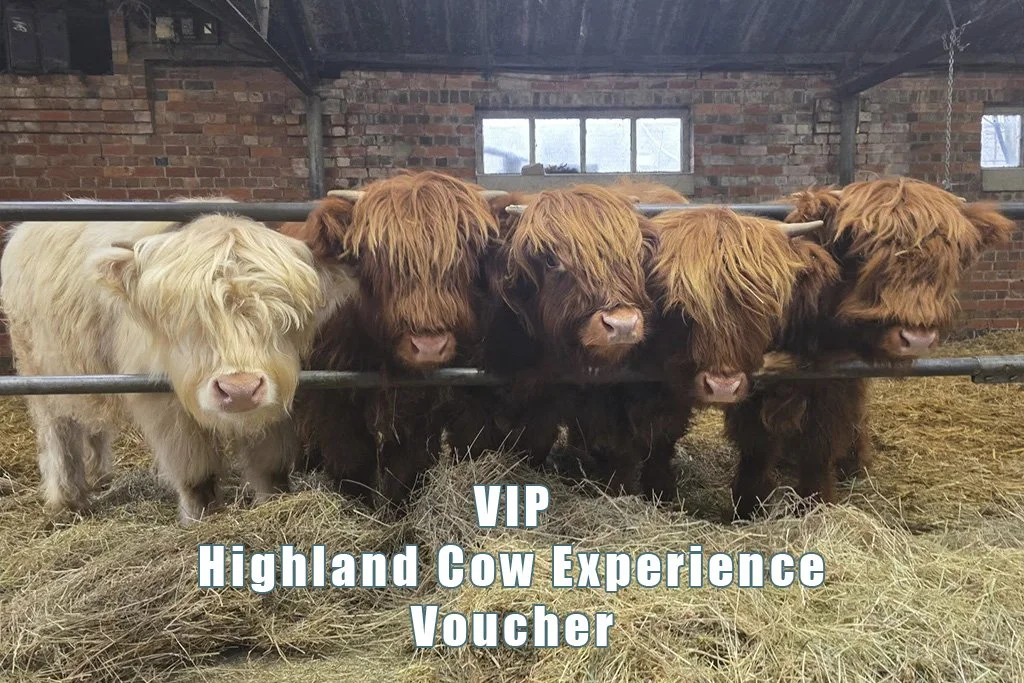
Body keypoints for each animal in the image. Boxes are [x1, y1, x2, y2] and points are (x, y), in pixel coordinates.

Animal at [0, 209, 348, 524]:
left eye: (283, 316)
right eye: (188, 320)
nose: (239, 390)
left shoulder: (275, 404)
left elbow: (269, 465)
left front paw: (272, 503)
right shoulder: (163, 405)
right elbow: (195, 472)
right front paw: (198, 518)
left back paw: (99, 475)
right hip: (40, 372)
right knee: (58, 432)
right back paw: (67, 499)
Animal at [289, 171, 502, 508]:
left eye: (461, 259)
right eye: (381, 260)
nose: (429, 348)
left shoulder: (422, 408)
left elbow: (405, 466)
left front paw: (395, 509)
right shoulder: (333, 400)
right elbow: (351, 461)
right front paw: (360, 508)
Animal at [724, 177, 1015, 518]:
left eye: (948, 257)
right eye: (864, 251)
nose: (916, 337)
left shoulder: (837, 382)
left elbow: (819, 448)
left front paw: (815, 503)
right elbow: (756, 449)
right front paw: (747, 506)